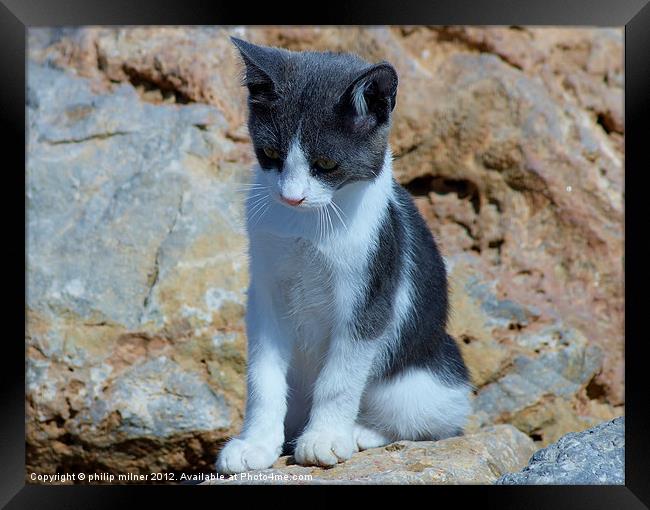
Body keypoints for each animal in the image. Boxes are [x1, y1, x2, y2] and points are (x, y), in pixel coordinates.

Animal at [215, 36, 468, 474]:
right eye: (270, 154)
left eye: (326, 164)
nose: (291, 197)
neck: (305, 226)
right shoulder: (263, 292)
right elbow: (262, 376)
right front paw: (255, 444)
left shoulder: (369, 296)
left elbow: (340, 377)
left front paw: (325, 438)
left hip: (427, 381)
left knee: (432, 421)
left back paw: (360, 432)